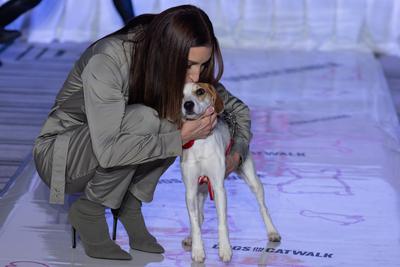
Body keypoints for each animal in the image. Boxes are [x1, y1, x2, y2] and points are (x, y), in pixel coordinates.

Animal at [181, 82, 282, 262]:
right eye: (181, 95)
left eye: (200, 91)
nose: (188, 105)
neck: (199, 141)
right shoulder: (191, 191)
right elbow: (194, 222)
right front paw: (198, 250)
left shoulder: (218, 188)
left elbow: (222, 222)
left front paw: (225, 249)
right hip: (200, 190)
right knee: (199, 217)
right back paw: (190, 237)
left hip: (252, 179)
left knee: (263, 207)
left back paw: (273, 232)